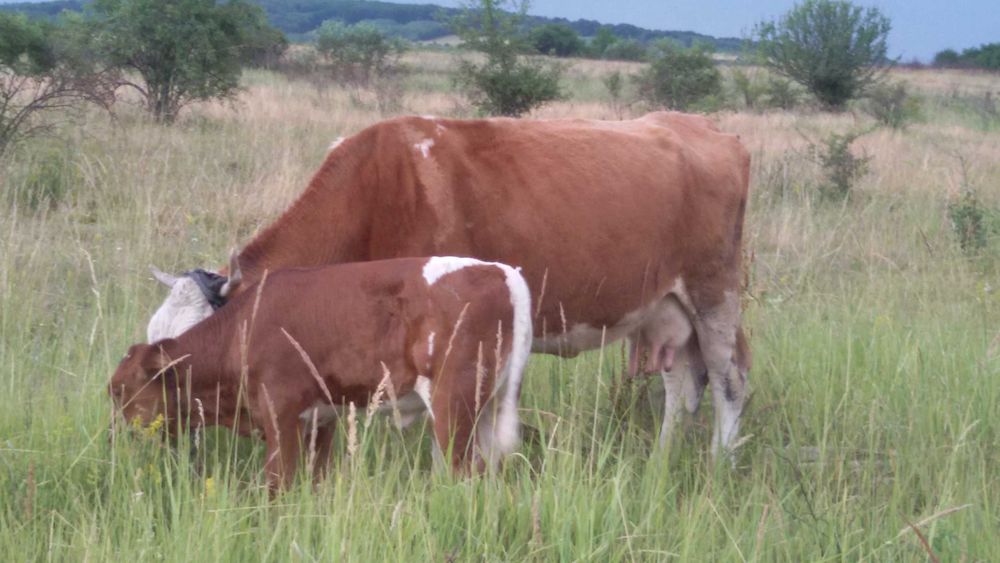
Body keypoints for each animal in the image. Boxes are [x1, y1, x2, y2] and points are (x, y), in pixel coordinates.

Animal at [112, 256, 533, 491]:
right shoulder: (321, 419)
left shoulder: (280, 418)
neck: (243, 329)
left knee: (462, 471)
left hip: (454, 405)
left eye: (118, 392)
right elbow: (315, 481)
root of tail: (502, 272)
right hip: (488, 407)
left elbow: (277, 488)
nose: (118, 436)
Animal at [145, 111, 751, 457]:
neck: (374, 193)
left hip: (714, 296)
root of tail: (705, 127)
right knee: (682, 386)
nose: (164, 437)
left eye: (189, 360)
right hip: (664, 309)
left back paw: (718, 466)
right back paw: (663, 463)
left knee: (729, 382)